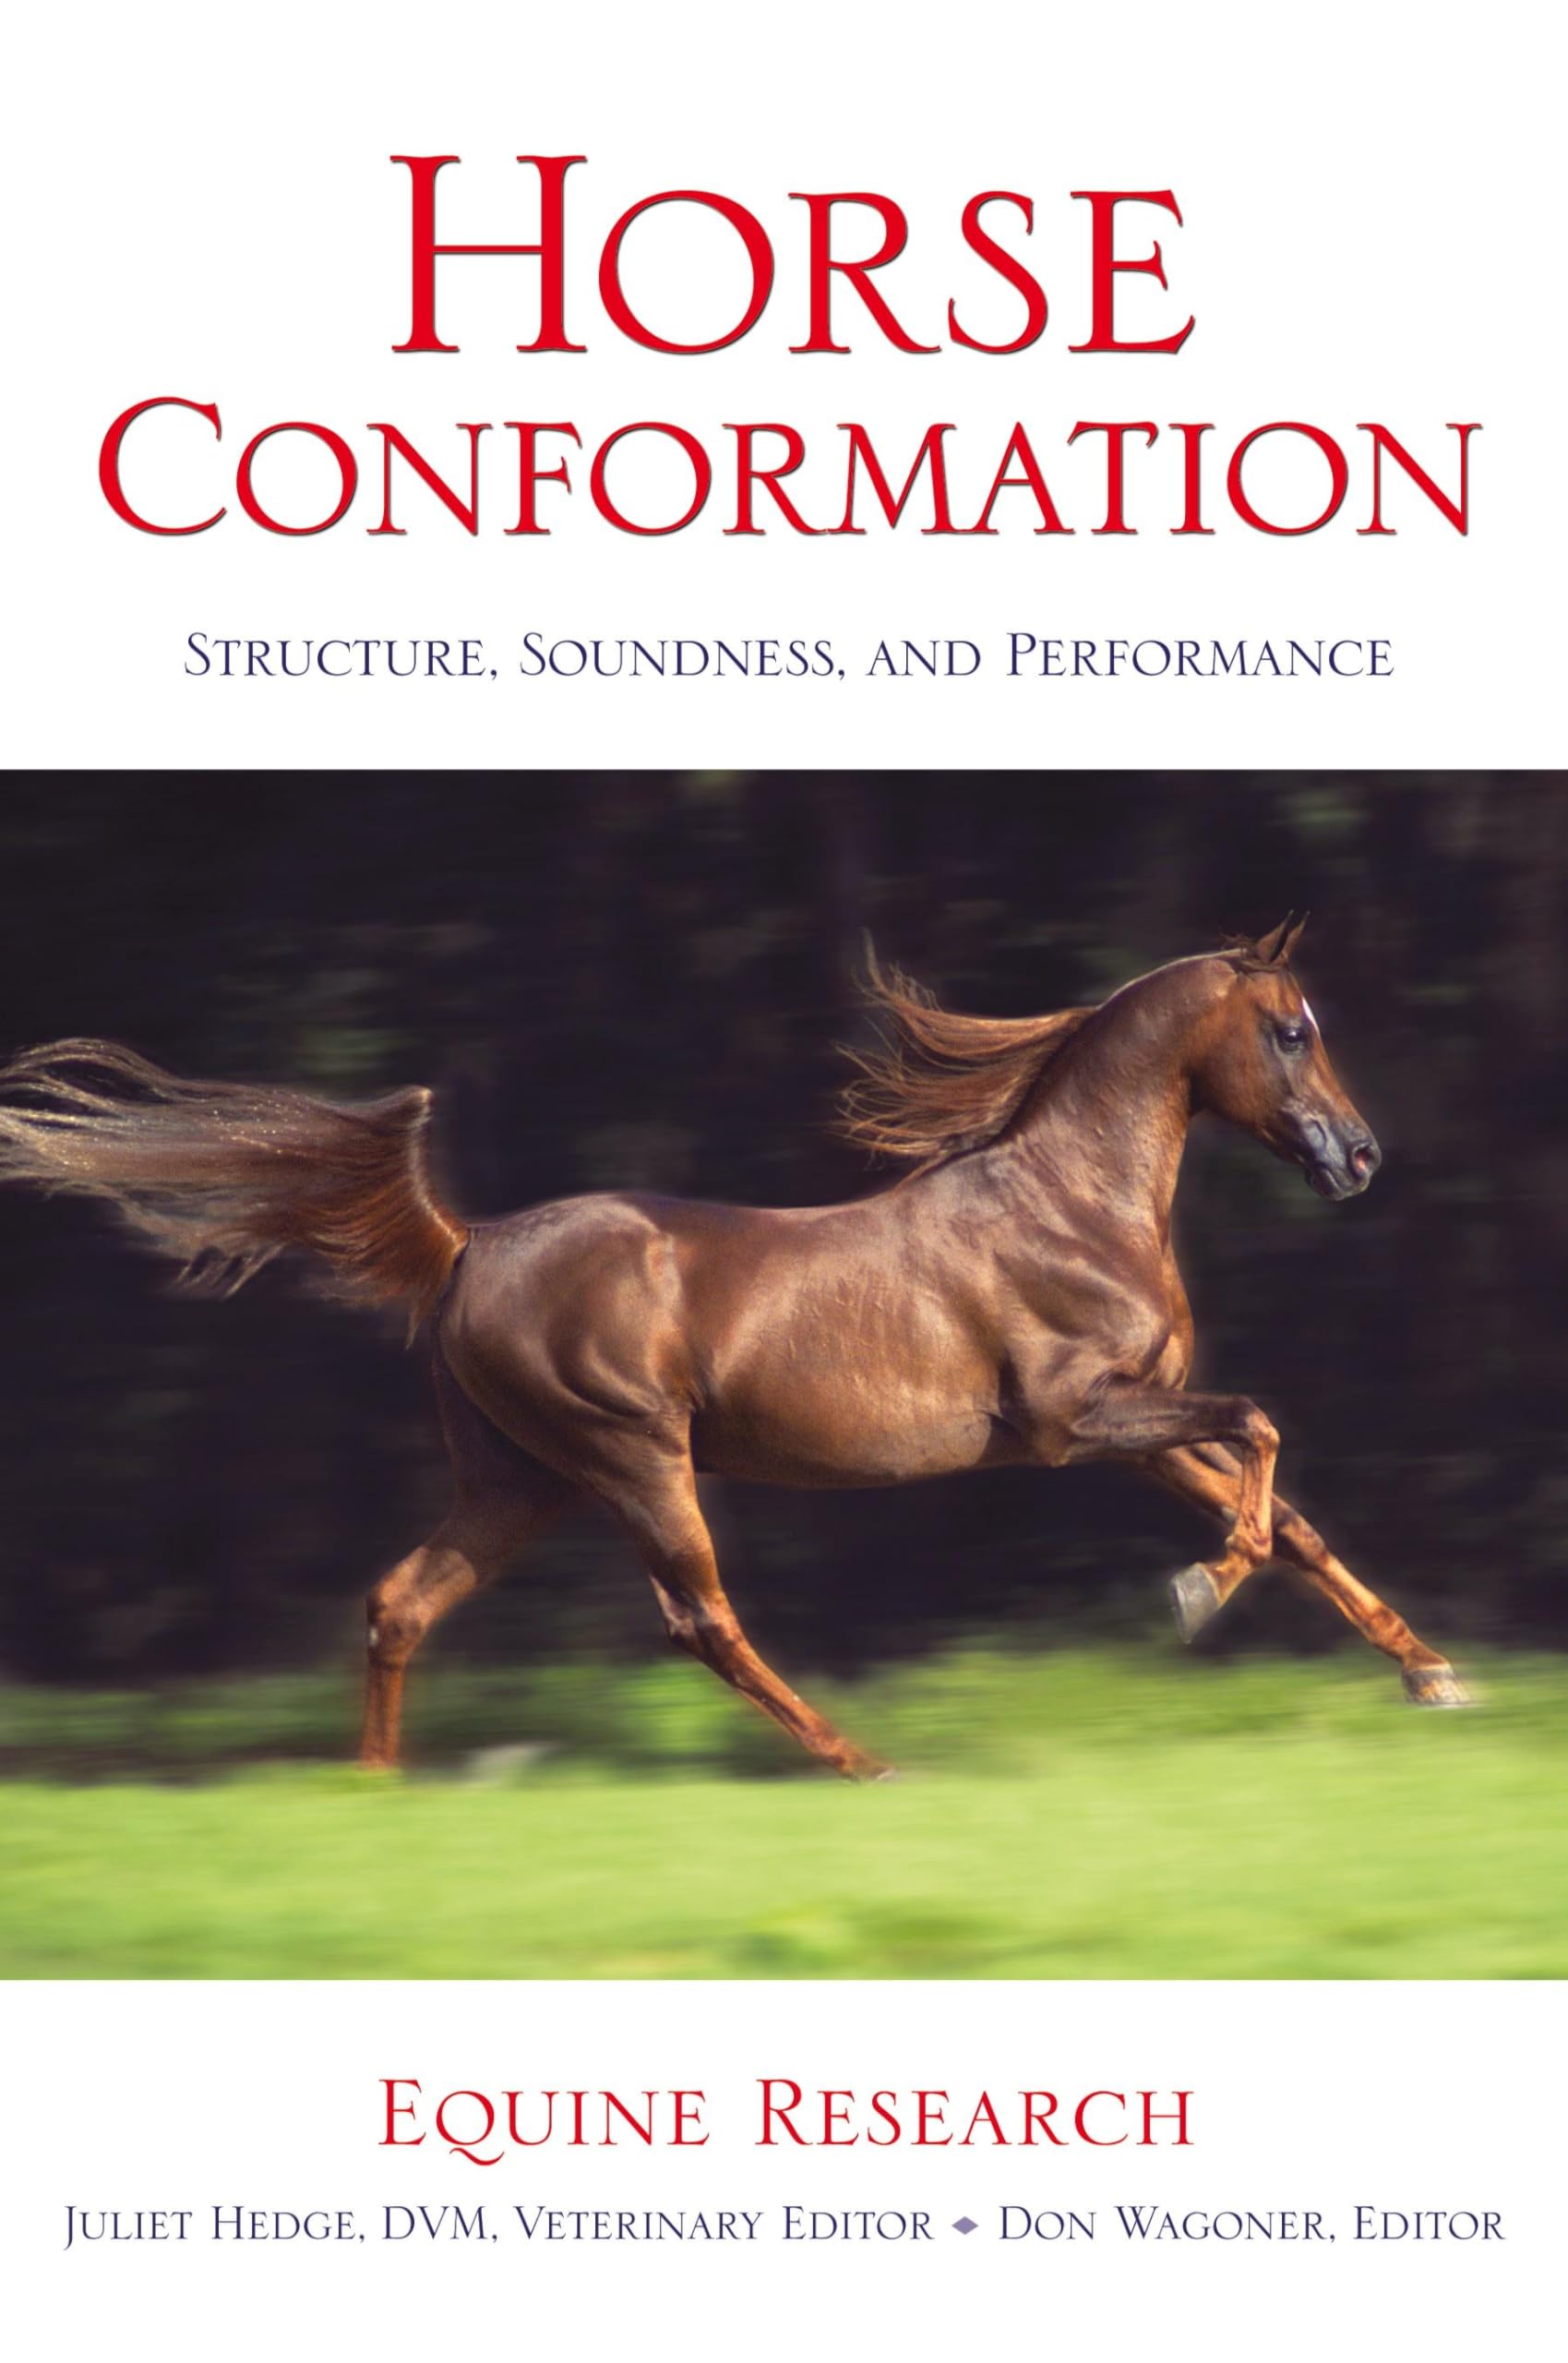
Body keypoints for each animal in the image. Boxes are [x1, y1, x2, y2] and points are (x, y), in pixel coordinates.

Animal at [0, 915, 1469, 1779]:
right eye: (1291, 1029)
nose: (1358, 1159)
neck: (1069, 1204)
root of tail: (466, 1245)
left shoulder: (1138, 1424)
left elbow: (1288, 1515)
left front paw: (1432, 1675)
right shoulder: (1074, 1421)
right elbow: (1263, 1434)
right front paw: (1192, 1594)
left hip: (520, 1480)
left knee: (400, 1600)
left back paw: (376, 1791)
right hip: (633, 1459)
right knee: (697, 1618)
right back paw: (861, 1759)